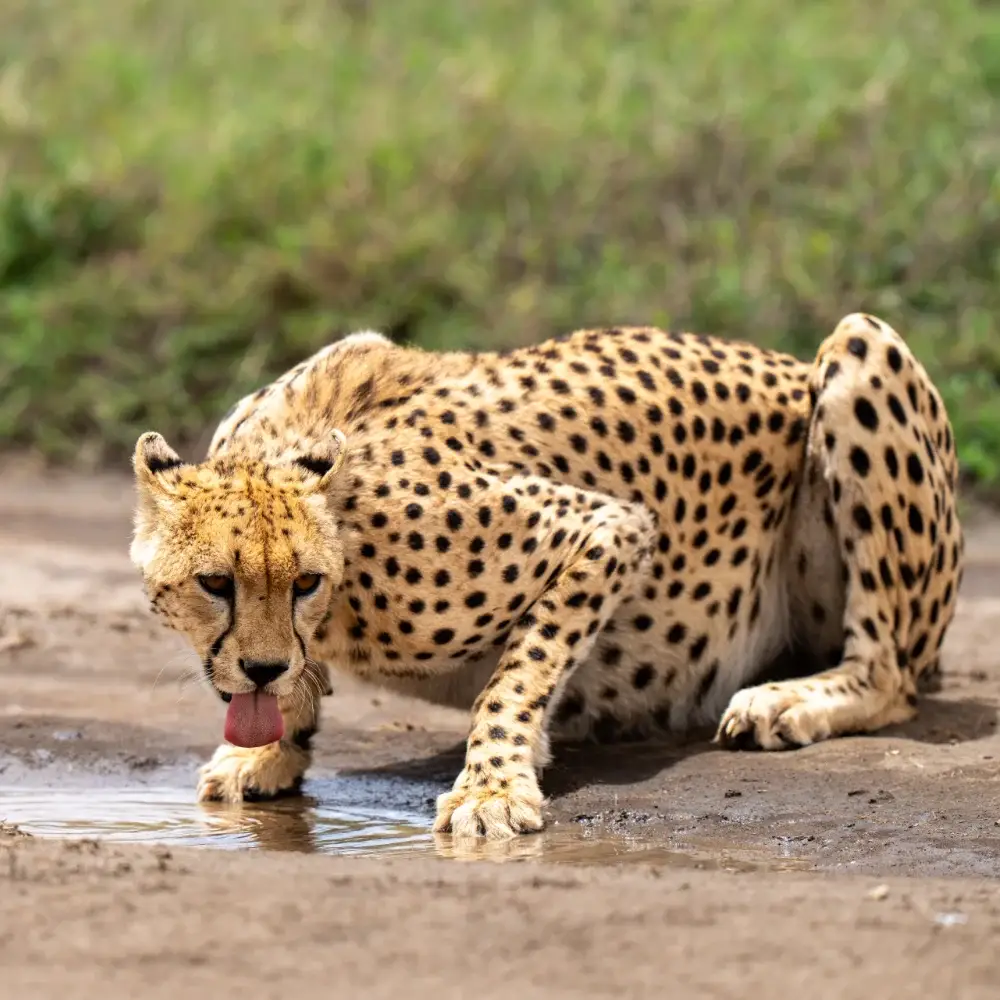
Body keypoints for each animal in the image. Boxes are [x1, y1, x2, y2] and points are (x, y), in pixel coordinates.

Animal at [130, 313, 964, 840]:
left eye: (304, 583)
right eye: (216, 584)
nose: (263, 668)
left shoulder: (605, 527)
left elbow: (520, 671)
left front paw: (493, 783)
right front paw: (269, 749)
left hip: (862, 344)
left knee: (889, 670)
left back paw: (789, 700)